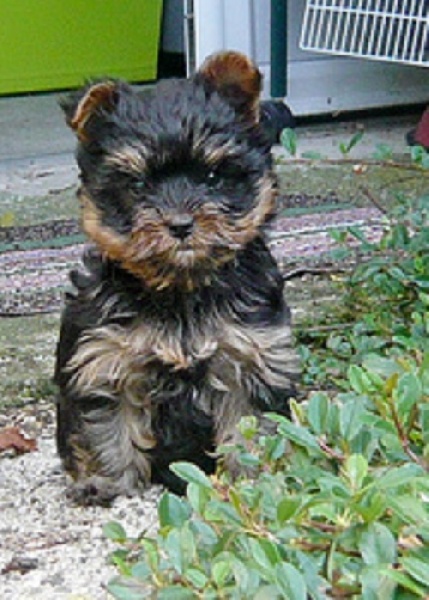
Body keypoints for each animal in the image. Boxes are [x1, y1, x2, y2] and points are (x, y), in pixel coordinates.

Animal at [54, 51, 298, 504]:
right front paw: (107, 482)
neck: (181, 287)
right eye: (136, 184)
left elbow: (249, 427)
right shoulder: (105, 360)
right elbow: (107, 428)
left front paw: (251, 479)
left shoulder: (250, 357)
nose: (181, 224)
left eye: (213, 177)